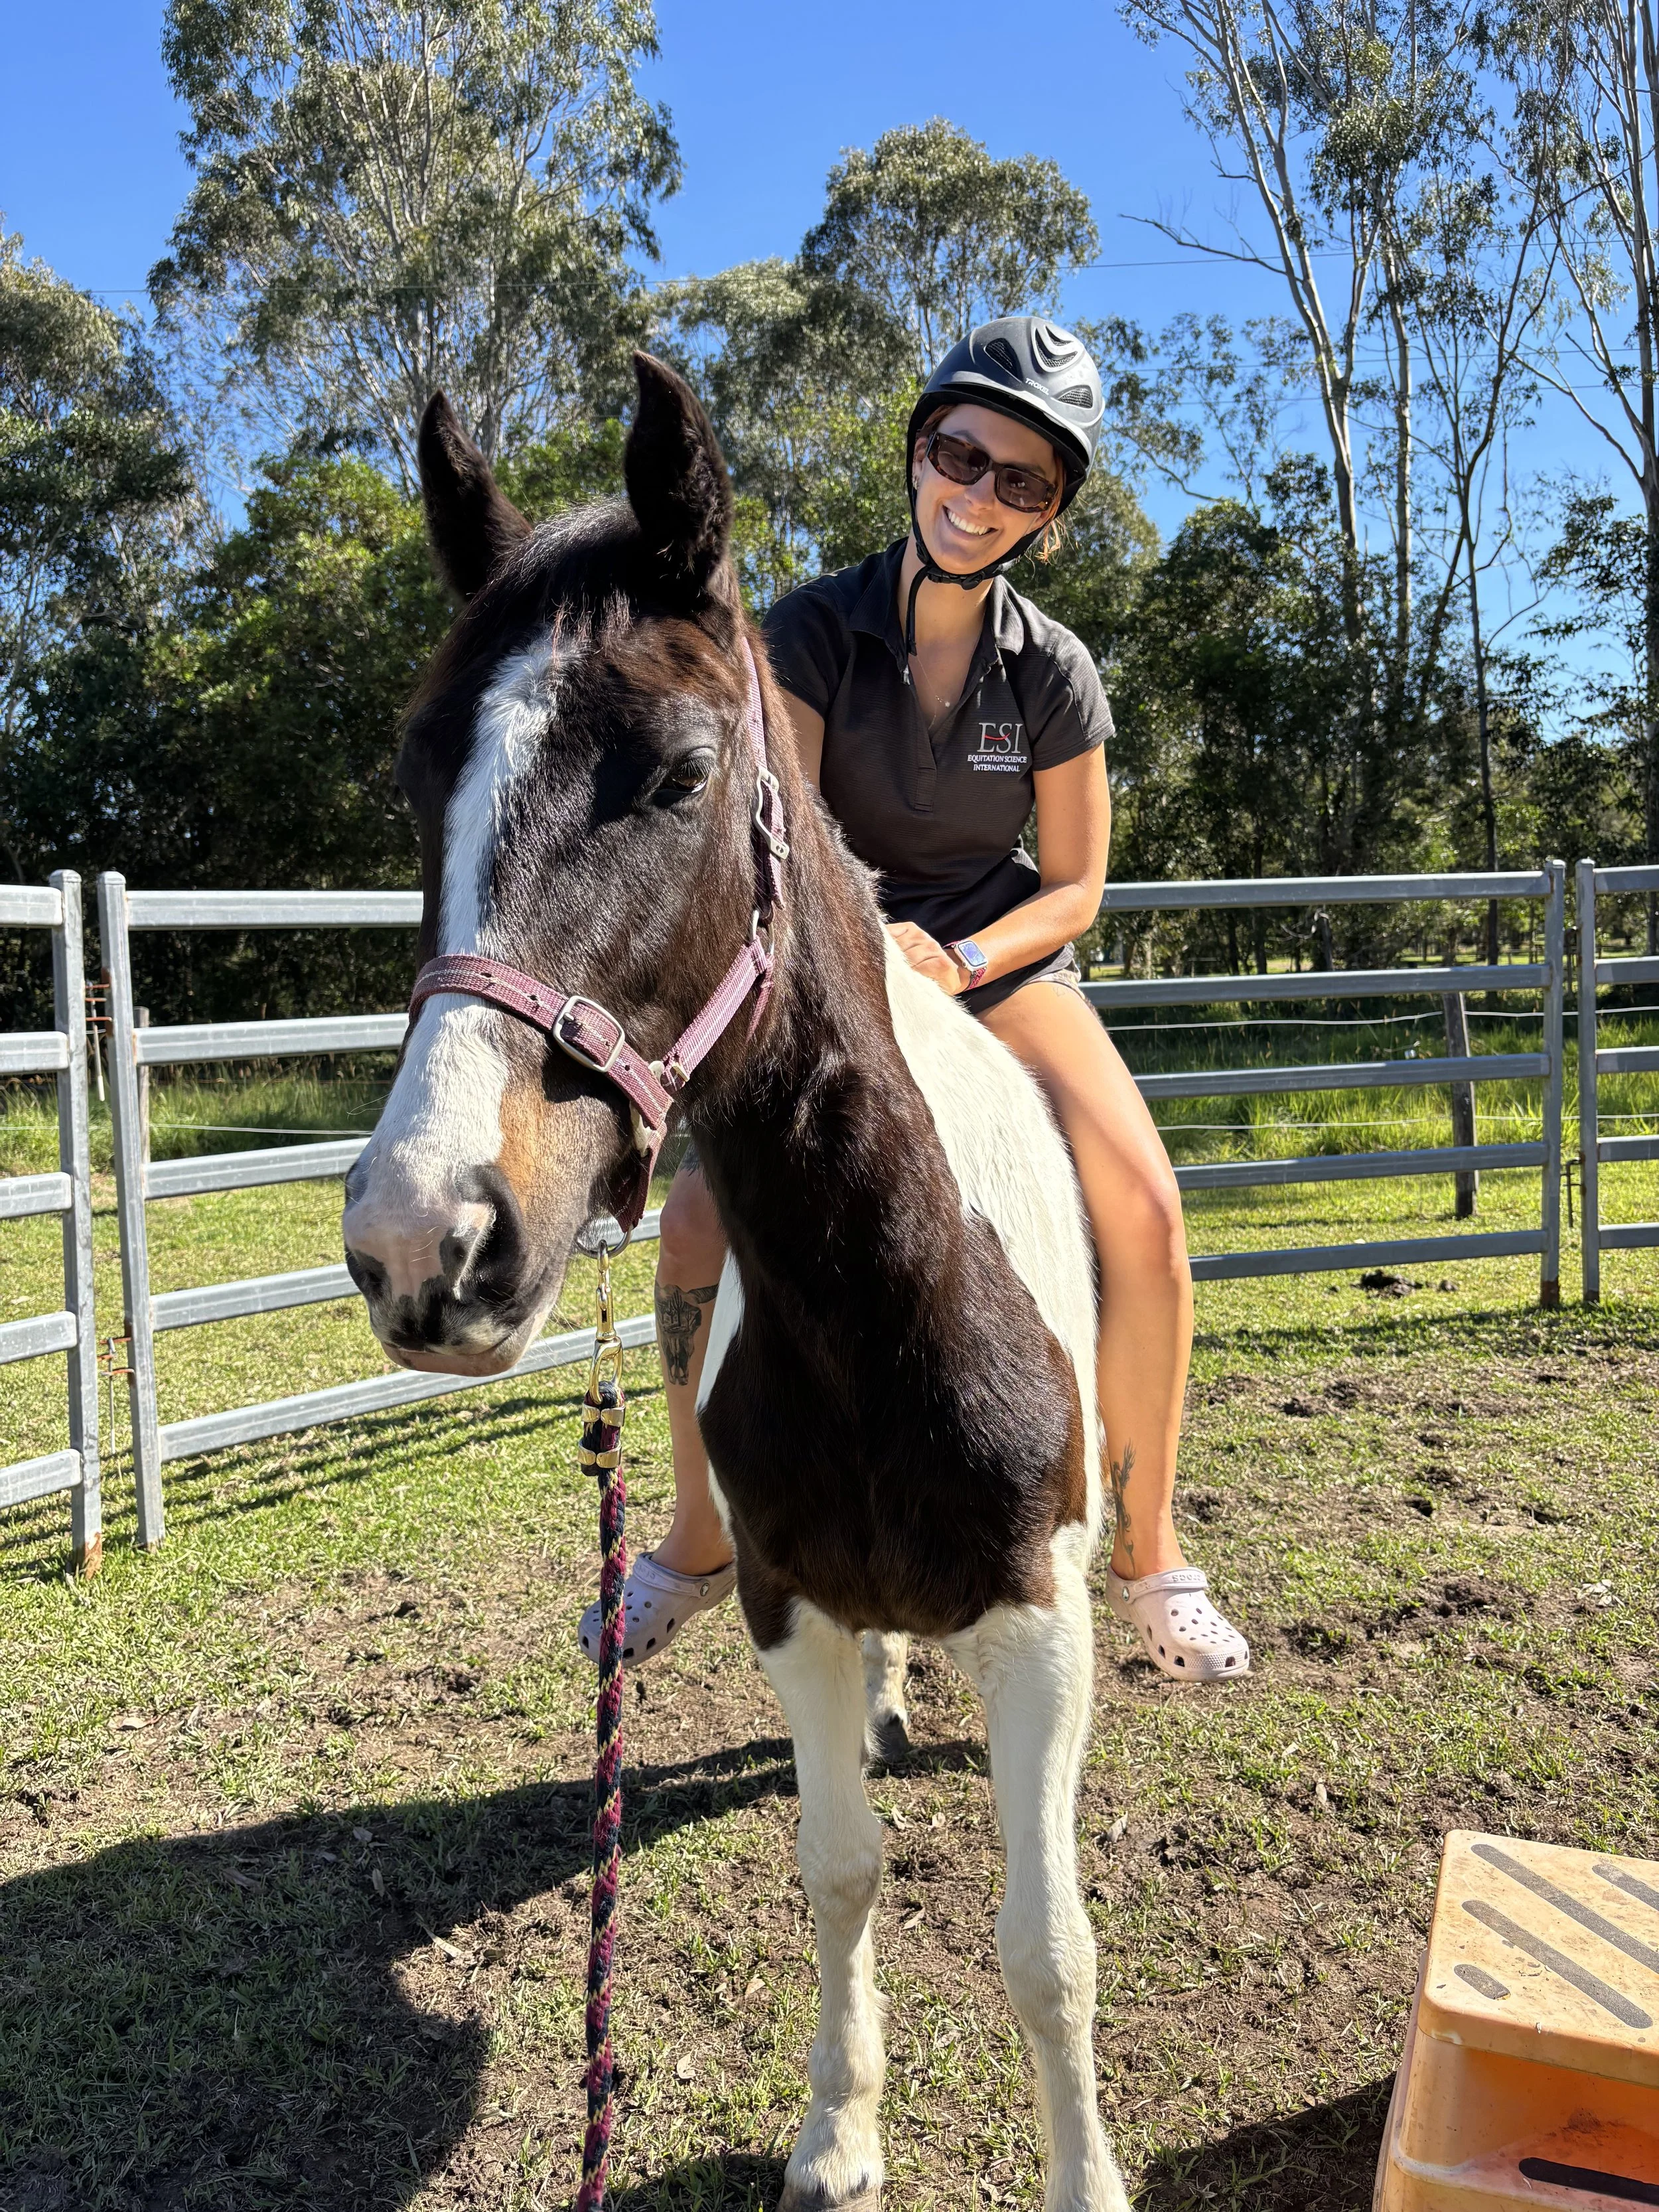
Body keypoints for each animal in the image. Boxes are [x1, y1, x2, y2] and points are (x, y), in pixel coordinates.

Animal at [340, 353, 1131, 2212]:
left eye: (676, 774)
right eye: (419, 776)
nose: (423, 1241)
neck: (888, 1308)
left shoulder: (1039, 1626)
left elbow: (1047, 1949)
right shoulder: (792, 1606)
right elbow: (839, 1870)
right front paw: (839, 2132)